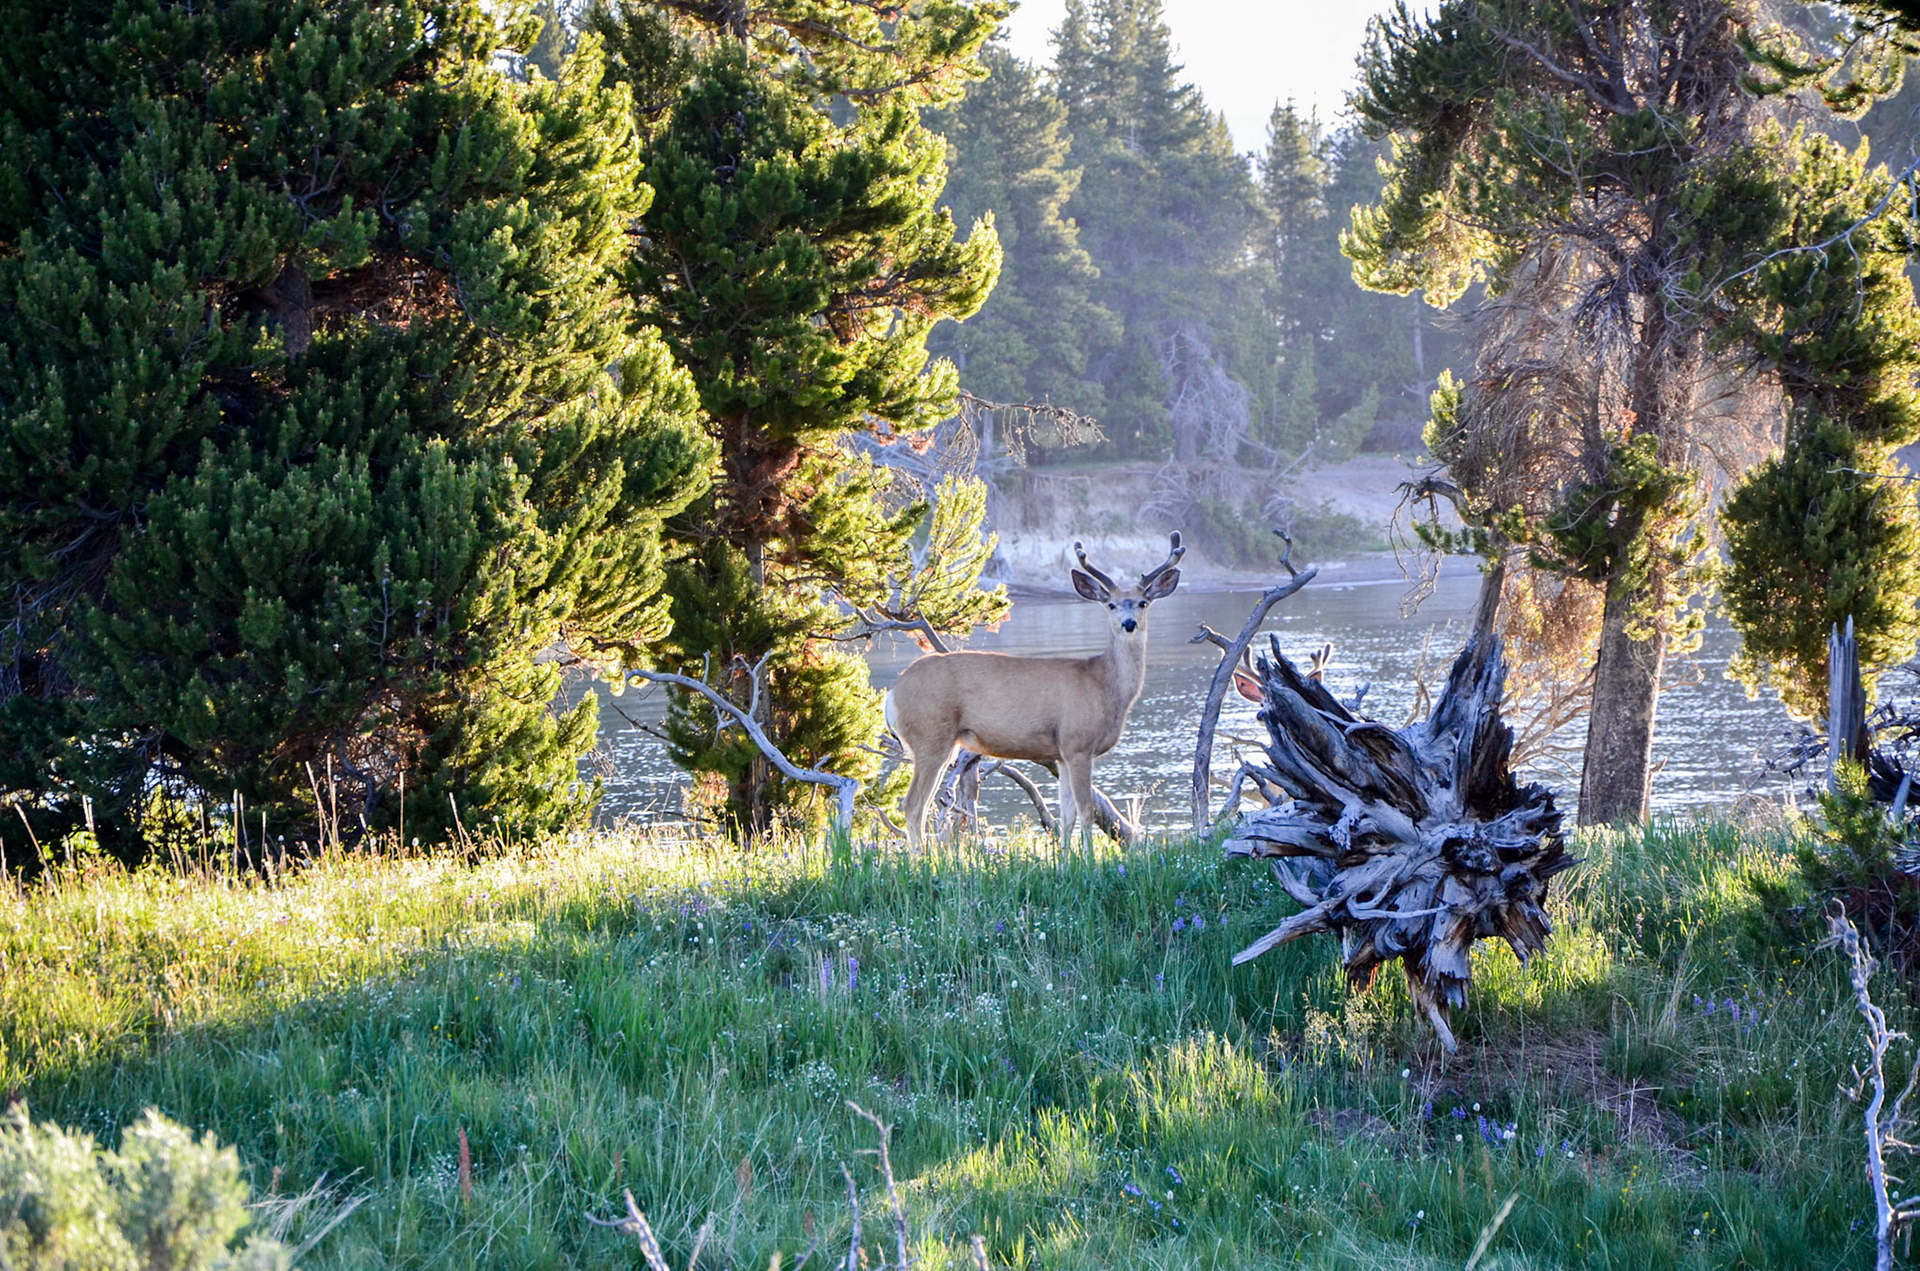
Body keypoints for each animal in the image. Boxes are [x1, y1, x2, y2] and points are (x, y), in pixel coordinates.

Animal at [884, 533, 1184, 851]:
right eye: (1111, 605)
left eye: (1143, 603)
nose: (1129, 624)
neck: (1104, 685)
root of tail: (892, 695)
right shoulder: (1078, 742)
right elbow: (1086, 810)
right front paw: (1088, 858)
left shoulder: (1062, 753)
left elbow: (1067, 814)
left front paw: (1066, 857)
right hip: (930, 735)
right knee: (913, 804)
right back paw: (923, 858)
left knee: (921, 803)